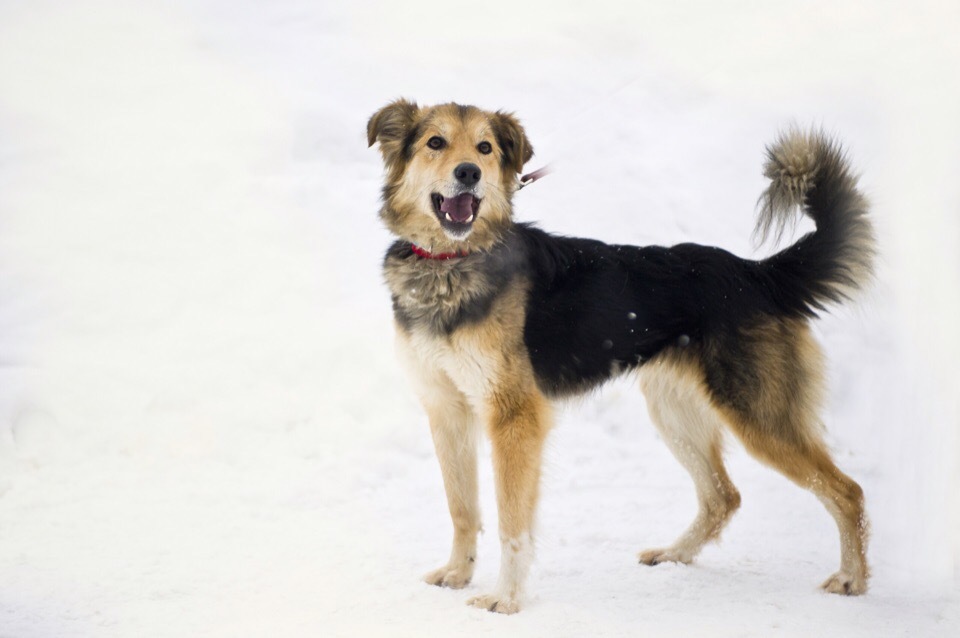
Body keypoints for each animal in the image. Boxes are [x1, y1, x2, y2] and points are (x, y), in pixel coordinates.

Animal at [368, 101, 876, 616]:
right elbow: (462, 508)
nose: (468, 173)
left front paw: (506, 598)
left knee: (847, 492)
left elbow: (512, 521)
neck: (450, 262)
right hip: (673, 411)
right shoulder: (446, 410)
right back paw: (674, 555)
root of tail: (758, 274)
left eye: (485, 148)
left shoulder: (513, 417)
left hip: (759, 416)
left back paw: (852, 579)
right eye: (435, 142)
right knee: (723, 496)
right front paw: (457, 573)